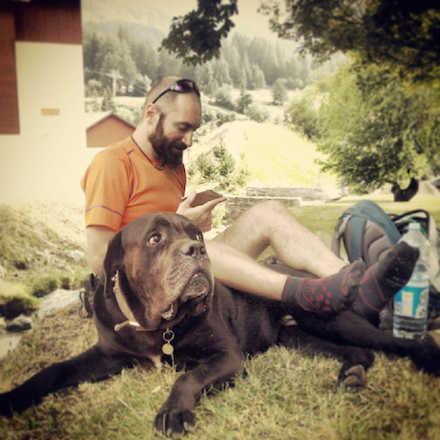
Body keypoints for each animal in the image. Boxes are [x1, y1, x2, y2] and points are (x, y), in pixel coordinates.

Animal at [0, 211, 440, 434]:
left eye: (197, 235)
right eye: (155, 239)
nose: (197, 250)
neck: (155, 325)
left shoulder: (226, 355)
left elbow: (186, 377)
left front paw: (173, 413)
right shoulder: (106, 354)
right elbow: (54, 370)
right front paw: (13, 397)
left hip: (332, 321)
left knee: (396, 342)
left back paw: (421, 354)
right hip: (300, 338)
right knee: (359, 351)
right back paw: (350, 373)